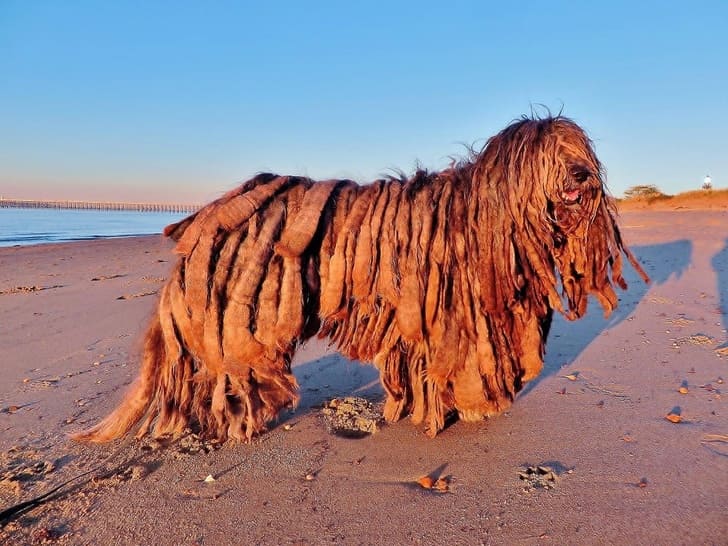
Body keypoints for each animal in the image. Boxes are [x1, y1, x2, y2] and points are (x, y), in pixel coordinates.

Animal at [74, 115, 648, 442]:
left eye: (578, 151)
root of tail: (209, 216)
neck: (489, 217)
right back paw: (237, 424)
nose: (581, 175)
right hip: (247, 316)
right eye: (550, 155)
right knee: (233, 374)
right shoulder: (452, 322)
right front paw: (468, 408)